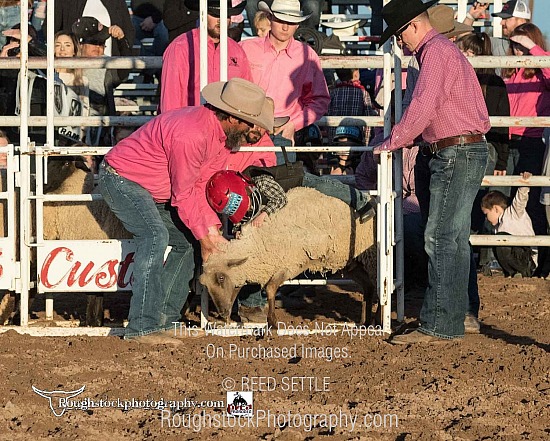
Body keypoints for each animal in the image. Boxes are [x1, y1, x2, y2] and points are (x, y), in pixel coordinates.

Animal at [203, 186, 380, 330]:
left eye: (220, 278)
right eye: (204, 284)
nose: (221, 312)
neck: (259, 241)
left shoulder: (292, 264)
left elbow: (270, 288)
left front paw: (272, 322)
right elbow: (260, 289)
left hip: (372, 259)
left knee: (378, 287)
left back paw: (377, 322)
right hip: (352, 264)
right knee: (369, 287)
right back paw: (365, 322)